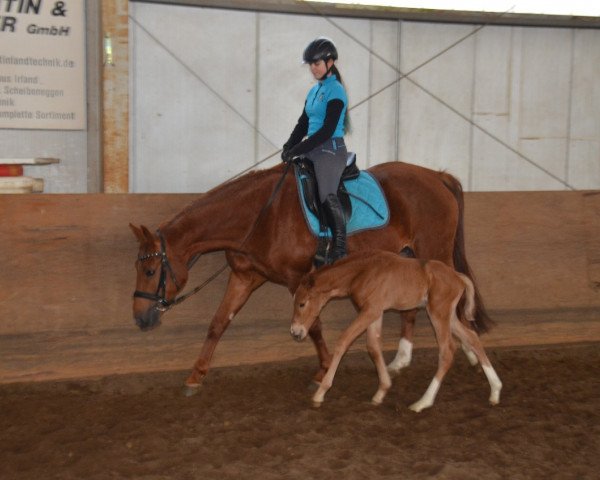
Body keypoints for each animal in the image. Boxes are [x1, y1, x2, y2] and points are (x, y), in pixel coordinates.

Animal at [290, 251, 502, 412]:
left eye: (302, 303)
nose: (295, 332)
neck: (362, 271)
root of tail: (458, 277)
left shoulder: (370, 311)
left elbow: (344, 340)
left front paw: (320, 393)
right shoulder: (375, 312)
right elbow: (373, 346)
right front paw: (381, 391)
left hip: (438, 313)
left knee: (447, 351)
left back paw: (422, 402)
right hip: (448, 316)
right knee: (472, 338)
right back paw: (495, 391)